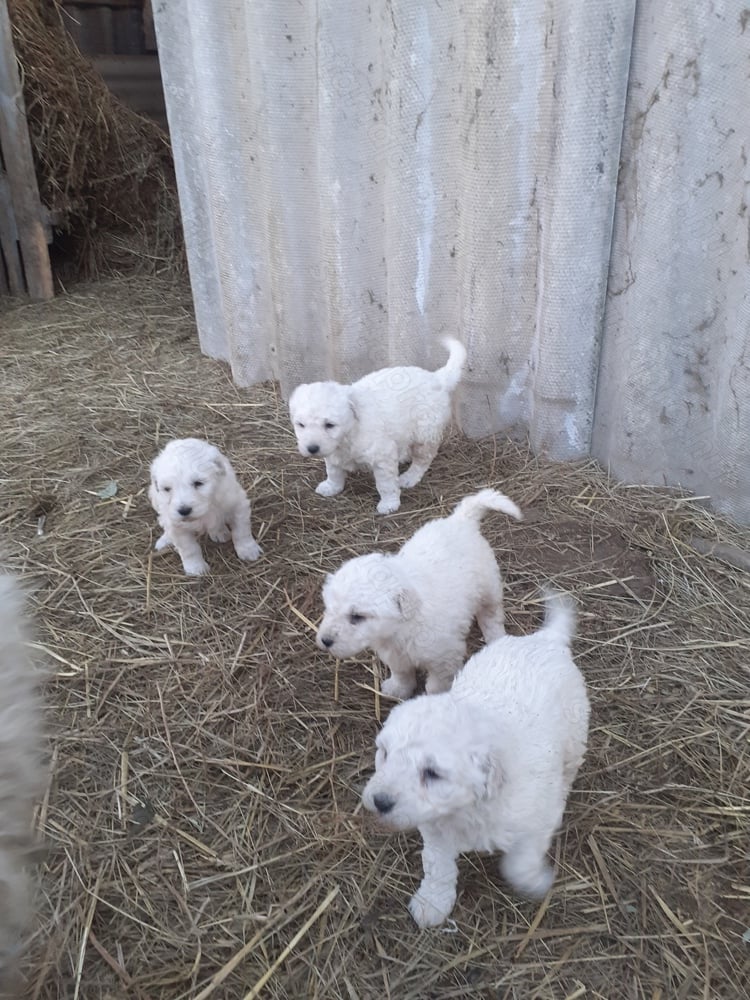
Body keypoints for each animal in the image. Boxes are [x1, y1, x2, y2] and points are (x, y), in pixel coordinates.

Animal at [148, 440, 262, 580]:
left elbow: (241, 532)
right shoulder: (176, 526)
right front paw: (195, 568)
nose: (184, 510)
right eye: (167, 489)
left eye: (198, 483)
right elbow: (189, 549)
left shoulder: (237, 505)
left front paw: (248, 550)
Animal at [290, 338, 468, 516]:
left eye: (329, 425)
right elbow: (333, 471)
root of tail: (436, 378)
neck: (350, 432)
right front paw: (331, 487)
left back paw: (409, 477)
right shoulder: (333, 452)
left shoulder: (382, 457)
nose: (312, 448)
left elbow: (386, 485)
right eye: (301, 425)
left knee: (423, 459)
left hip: (425, 433)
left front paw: (389, 504)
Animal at [318, 490, 524, 696]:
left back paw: (496, 639)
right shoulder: (394, 653)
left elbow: (436, 686)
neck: (402, 627)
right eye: (328, 609)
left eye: (357, 616)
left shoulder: (444, 658)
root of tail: (461, 519)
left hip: (488, 587)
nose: (325, 641)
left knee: (491, 617)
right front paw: (397, 690)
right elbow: (401, 673)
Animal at [362, 592, 592, 928]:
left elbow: (520, 862)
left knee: (570, 768)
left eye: (432, 773)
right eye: (385, 754)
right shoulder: (435, 829)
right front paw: (432, 903)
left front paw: (535, 881)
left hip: (575, 734)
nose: (379, 801)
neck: (468, 808)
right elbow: (438, 867)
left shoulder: (536, 822)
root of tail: (545, 639)